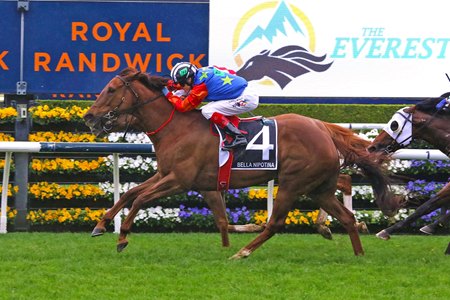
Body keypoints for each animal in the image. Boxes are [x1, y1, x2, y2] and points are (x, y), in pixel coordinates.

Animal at [82, 67, 396, 258]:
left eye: (111, 89)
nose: (89, 117)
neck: (176, 127)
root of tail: (322, 128)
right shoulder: (166, 174)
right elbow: (131, 194)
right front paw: (101, 224)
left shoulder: (179, 179)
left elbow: (139, 199)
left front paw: (122, 237)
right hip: (318, 187)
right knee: (347, 217)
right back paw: (358, 253)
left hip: (294, 183)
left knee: (275, 222)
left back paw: (241, 253)